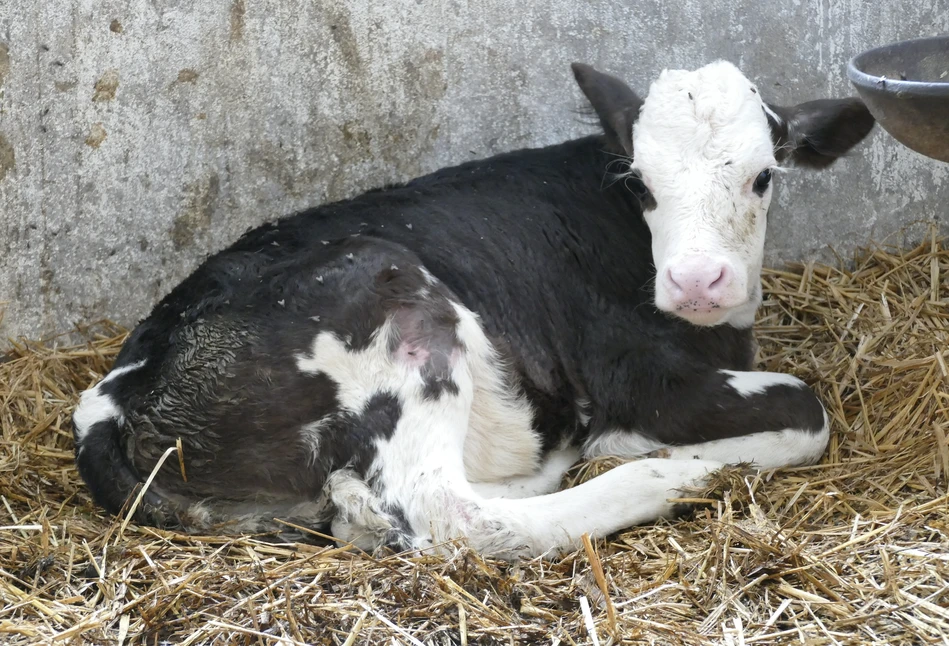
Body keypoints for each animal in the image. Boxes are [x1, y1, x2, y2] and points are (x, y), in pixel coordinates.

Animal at [74, 60, 872, 560]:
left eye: (763, 176)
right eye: (640, 183)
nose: (696, 281)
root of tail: (119, 391)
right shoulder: (642, 378)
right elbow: (807, 412)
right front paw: (645, 448)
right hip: (395, 307)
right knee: (449, 514)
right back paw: (658, 477)